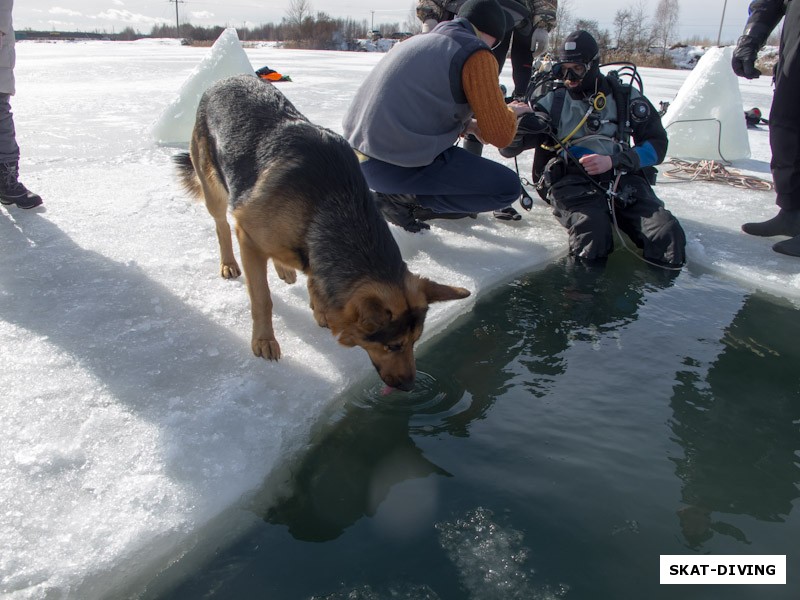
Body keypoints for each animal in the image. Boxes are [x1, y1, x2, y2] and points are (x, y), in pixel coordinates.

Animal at [175, 75, 472, 392]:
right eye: (393, 346)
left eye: (416, 341)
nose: (409, 387)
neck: (335, 202)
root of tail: (226, 79)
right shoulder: (248, 236)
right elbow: (262, 298)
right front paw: (264, 340)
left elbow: (312, 279)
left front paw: (319, 309)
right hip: (214, 188)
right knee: (221, 226)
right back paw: (229, 263)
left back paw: (284, 268)